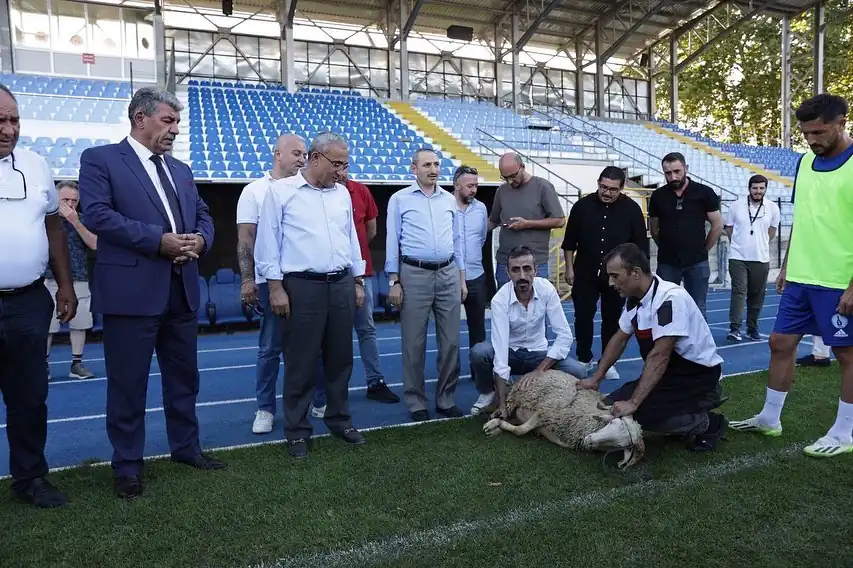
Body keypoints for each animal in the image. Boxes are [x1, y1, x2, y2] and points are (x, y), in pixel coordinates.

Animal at [482, 366, 644, 468]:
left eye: (621, 446)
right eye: (611, 423)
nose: (589, 439)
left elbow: (522, 428)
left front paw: (499, 426)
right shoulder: (546, 410)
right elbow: (521, 430)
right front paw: (498, 424)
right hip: (517, 396)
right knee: (507, 409)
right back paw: (494, 417)